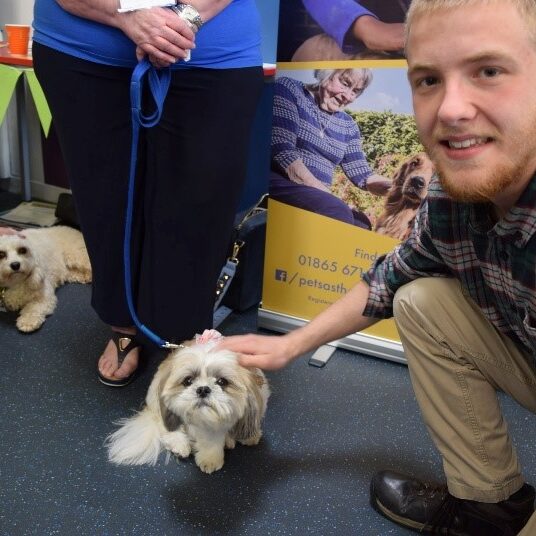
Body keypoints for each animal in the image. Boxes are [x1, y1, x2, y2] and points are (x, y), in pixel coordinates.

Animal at [105, 330, 270, 474]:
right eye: (188, 381)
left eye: (222, 381)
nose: (203, 389)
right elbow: (210, 440)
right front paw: (210, 459)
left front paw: (250, 436)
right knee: (165, 426)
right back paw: (179, 444)